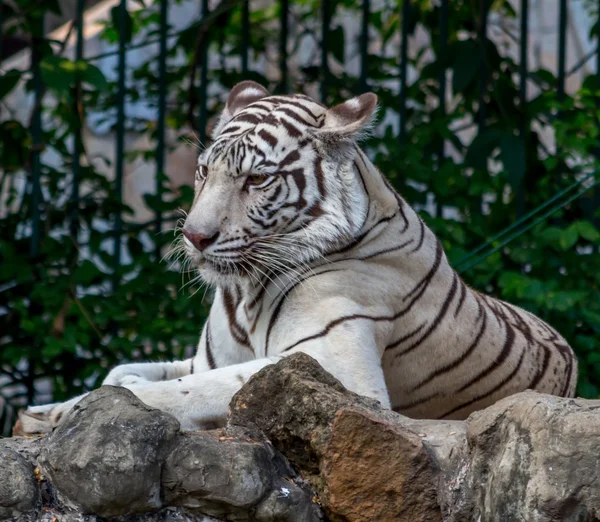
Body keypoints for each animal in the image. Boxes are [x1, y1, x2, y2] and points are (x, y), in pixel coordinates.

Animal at [15, 80, 576, 430]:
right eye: (204, 171)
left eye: (257, 179)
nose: (195, 236)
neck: (242, 289)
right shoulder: (203, 359)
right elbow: (127, 371)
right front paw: (48, 410)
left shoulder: (339, 370)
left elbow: (192, 389)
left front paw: (94, 403)